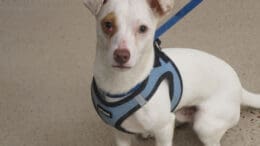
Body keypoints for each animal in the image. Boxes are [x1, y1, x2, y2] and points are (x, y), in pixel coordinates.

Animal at [84, 0, 258, 146]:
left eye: (143, 28)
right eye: (107, 24)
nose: (121, 55)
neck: (120, 83)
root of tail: (240, 89)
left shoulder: (164, 128)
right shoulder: (120, 133)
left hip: (205, 125)